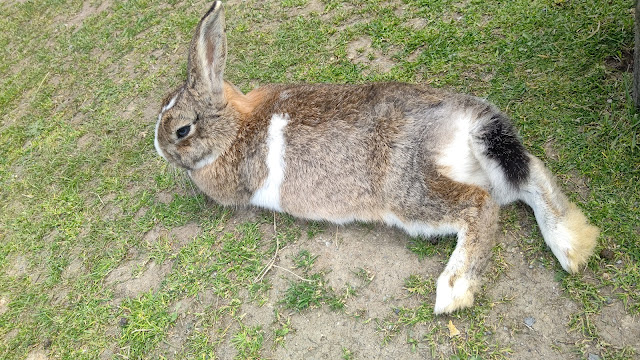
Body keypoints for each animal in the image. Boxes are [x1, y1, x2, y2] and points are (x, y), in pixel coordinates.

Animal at [154, 1, 600, 314]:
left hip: (409, 192)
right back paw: (572, 246)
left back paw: (453, 291)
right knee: (531, 175)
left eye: (182, 130)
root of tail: (464, 118)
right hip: (490, 162)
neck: (234, 128)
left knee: (481, 205)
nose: (160, 149)